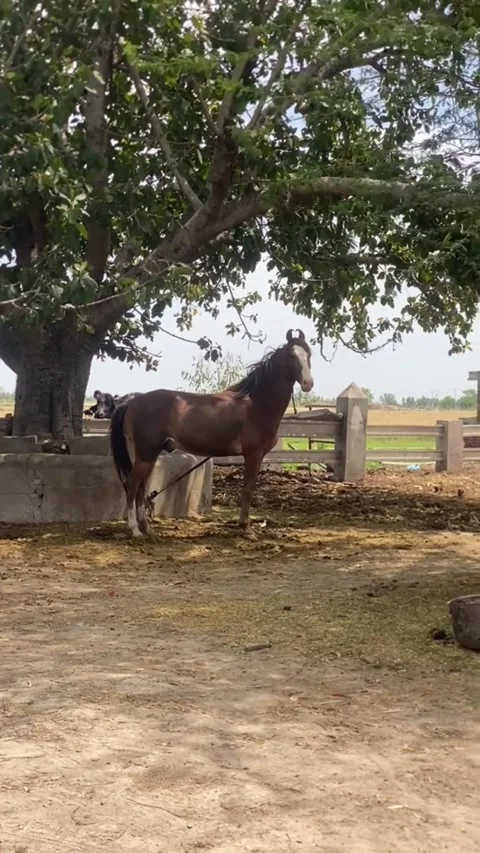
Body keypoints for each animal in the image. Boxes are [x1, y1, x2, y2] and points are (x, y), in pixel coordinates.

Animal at [109, 329, 313, 538]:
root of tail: (132, 402)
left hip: (148, 455)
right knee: (132, 487)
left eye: (309, 354)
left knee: (140, 489)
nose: (308, 383)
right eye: (291, 355)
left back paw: (147, 529)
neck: (256, 404)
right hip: (146, 455)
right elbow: (248, 489)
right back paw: (135, 530)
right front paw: (246, 529)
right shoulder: (253, 454)